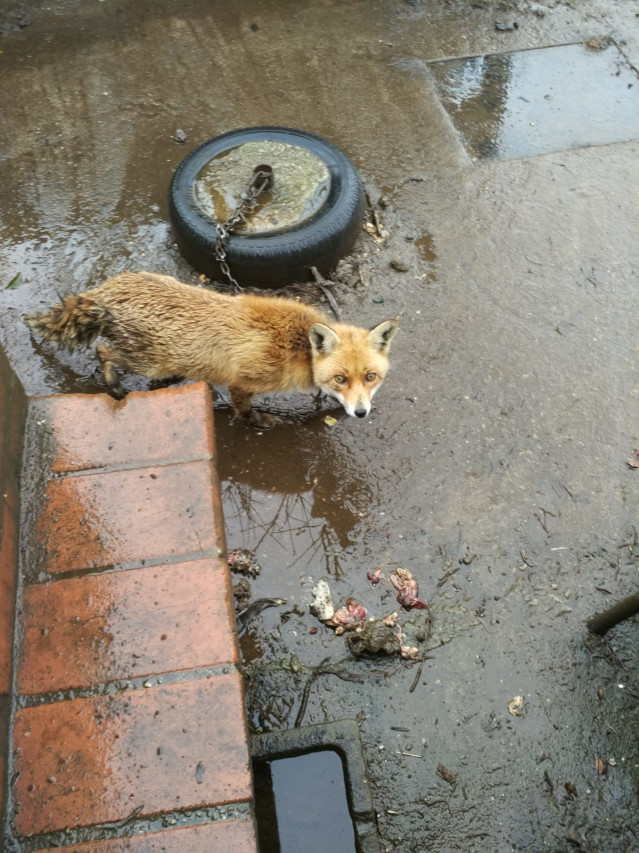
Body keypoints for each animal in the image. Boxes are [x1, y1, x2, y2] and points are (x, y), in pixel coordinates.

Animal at [25, 271, 399, 428]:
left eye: (370, 377)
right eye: (340, 378)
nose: (361, 413)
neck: (297, 348)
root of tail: (109, 289)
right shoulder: (241, 382)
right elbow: (244, 410)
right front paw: (256, 422)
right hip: (149, 362)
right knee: (103, 350)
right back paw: (114, 387)